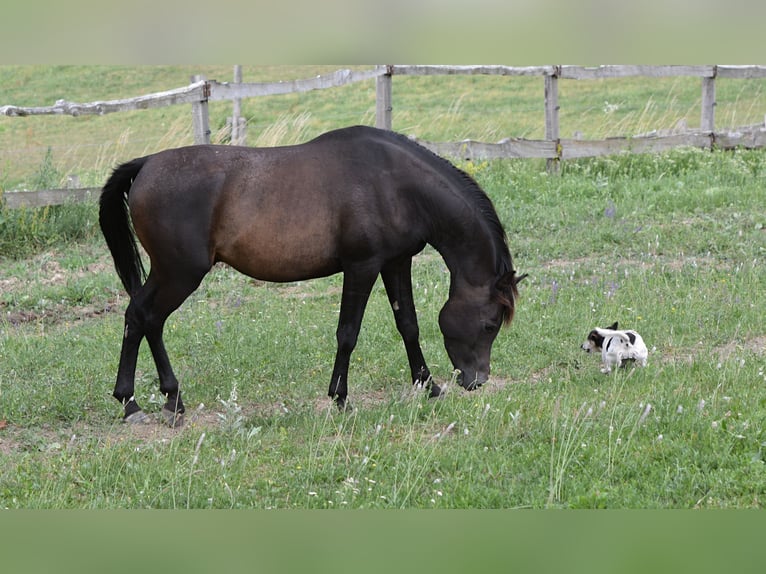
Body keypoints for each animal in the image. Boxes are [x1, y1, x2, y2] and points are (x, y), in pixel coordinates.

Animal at [99, 124, 524, 426]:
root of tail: (146, 163)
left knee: (146, 320)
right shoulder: (362, 267)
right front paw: (340, 397)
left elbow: (408, 325)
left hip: (170, 275)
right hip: (179, 274)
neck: (395, 184)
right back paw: (136, 403)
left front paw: (428, 385)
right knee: (142, 316)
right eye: (490, 324)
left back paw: (163, 400)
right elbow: (348, 333)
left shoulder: (396, 262)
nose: (476, 380)